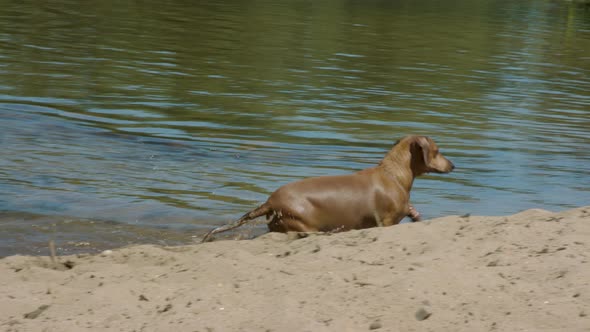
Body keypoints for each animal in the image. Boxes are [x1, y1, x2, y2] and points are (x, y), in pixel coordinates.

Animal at [201, 135, 456, 241]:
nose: (453, 165)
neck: (392, 174)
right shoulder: (387, 222)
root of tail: (270, 202)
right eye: (437, 150)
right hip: (304, 224)